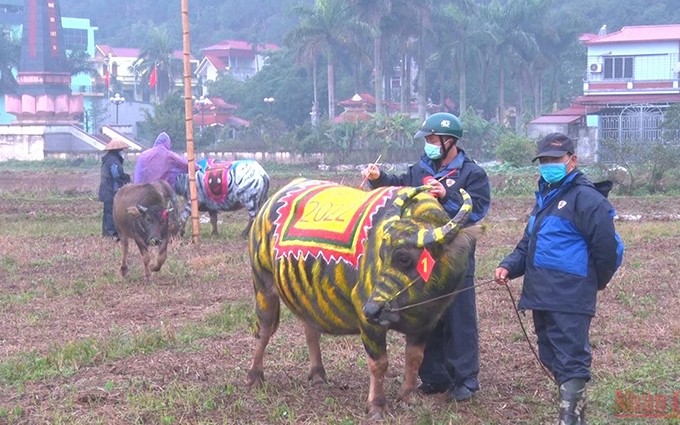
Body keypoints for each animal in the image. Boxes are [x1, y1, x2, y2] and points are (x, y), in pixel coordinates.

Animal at [246, 177, 478, 420]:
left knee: (311, 330)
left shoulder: (425, 324)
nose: (373, 309)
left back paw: (318, 374)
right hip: (263, 285)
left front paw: (407, 397)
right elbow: (379, 363)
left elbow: (414, 359)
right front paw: (376, 406)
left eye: (404, 258)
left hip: (305, 292)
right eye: (381, 254)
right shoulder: (368, 321)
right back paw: (255, 376)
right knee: (264, 330)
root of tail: (267, 206)